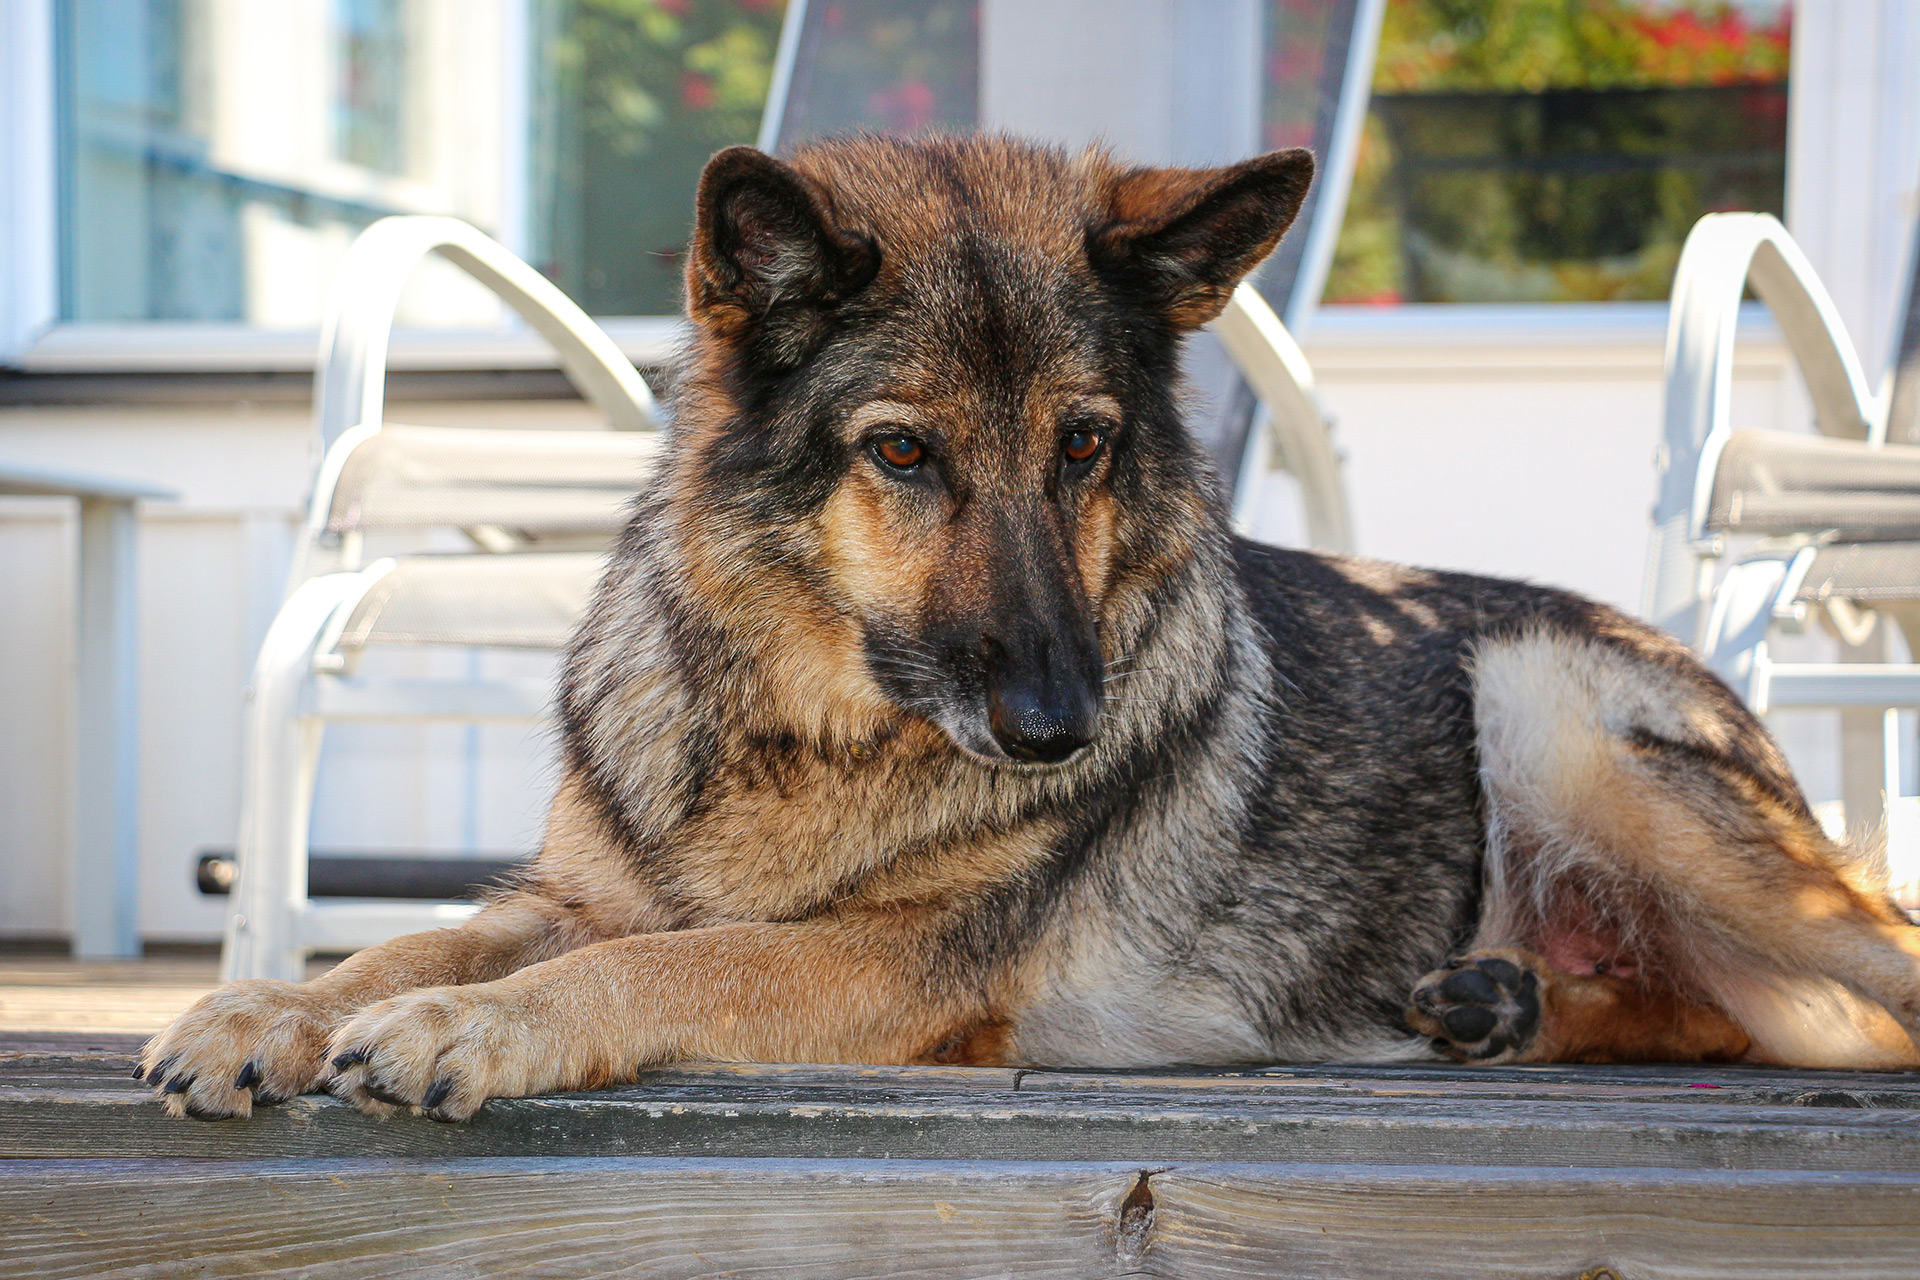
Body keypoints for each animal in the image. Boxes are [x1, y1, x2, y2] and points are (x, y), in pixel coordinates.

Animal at [139, 132, 1920, 1120]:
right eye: (904, 452)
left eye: (1083, 448)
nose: (1061, 732)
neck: (803, 725)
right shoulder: (572, 892)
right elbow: (429, 933)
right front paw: (267, 1009)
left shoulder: (903, 966)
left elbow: (673, 961)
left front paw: (479, 1029)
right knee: (1732, 1021)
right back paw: (1504, 1006)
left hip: (1565, 725)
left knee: (1870, 987)